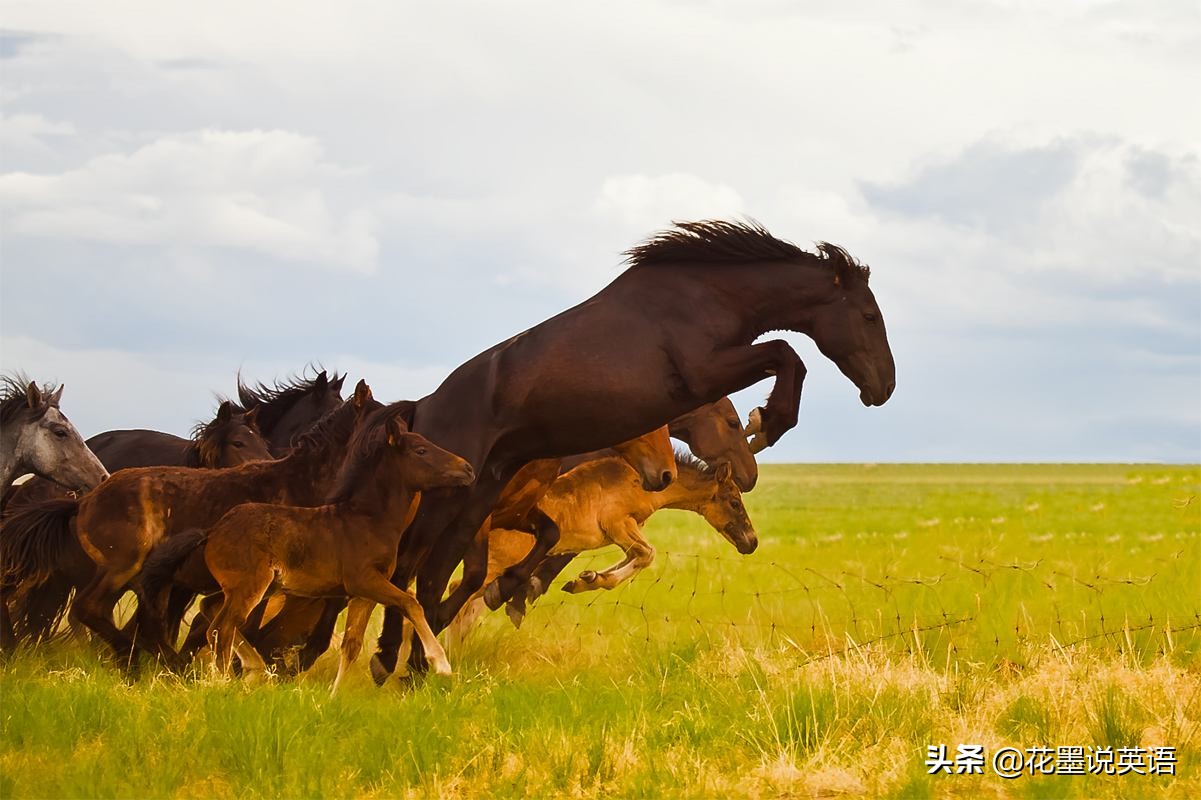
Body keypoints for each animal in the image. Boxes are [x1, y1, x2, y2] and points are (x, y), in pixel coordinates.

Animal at [196, 400, 474, 691]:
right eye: (421, 450)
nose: (467, 468)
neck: (369, 521)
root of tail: (214, 531)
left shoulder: (364, 595)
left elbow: (352, 644)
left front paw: (335, 694)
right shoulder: (363, 581)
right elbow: (411, 603)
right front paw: (441, 664)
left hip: (250, 587)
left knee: (211, 610)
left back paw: (251, 669)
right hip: (249, 588)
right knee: (222, 627)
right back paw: (222, 683)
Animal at [372, 219, 895, 680]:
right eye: (869, 316)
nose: (884, 387)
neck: (704, 297)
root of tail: (422, 408)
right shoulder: (704, 374)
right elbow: (788, 354)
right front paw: (767, 422)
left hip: (478, 496)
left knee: (434, 576)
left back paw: (413, 666)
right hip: (445, 500)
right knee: (411, 571)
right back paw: (393, 658)